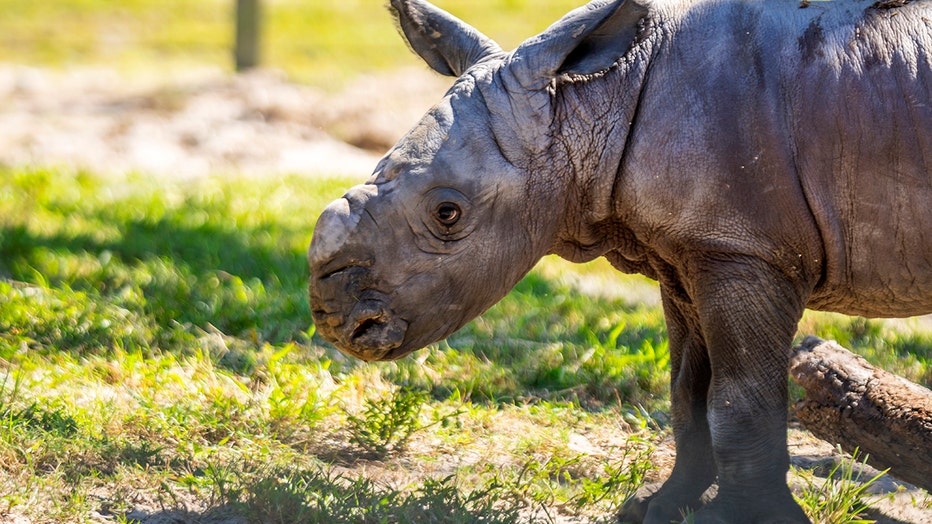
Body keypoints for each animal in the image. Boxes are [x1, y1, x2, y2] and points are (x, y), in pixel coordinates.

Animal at [308, 1, 932, 524]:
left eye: (447, 213)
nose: (334, 320)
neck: (588, 104)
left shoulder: (745, 251)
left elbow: (740, 399)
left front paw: (739, 519)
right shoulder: (689, 254)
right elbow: (689, 394)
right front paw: (657, 508)